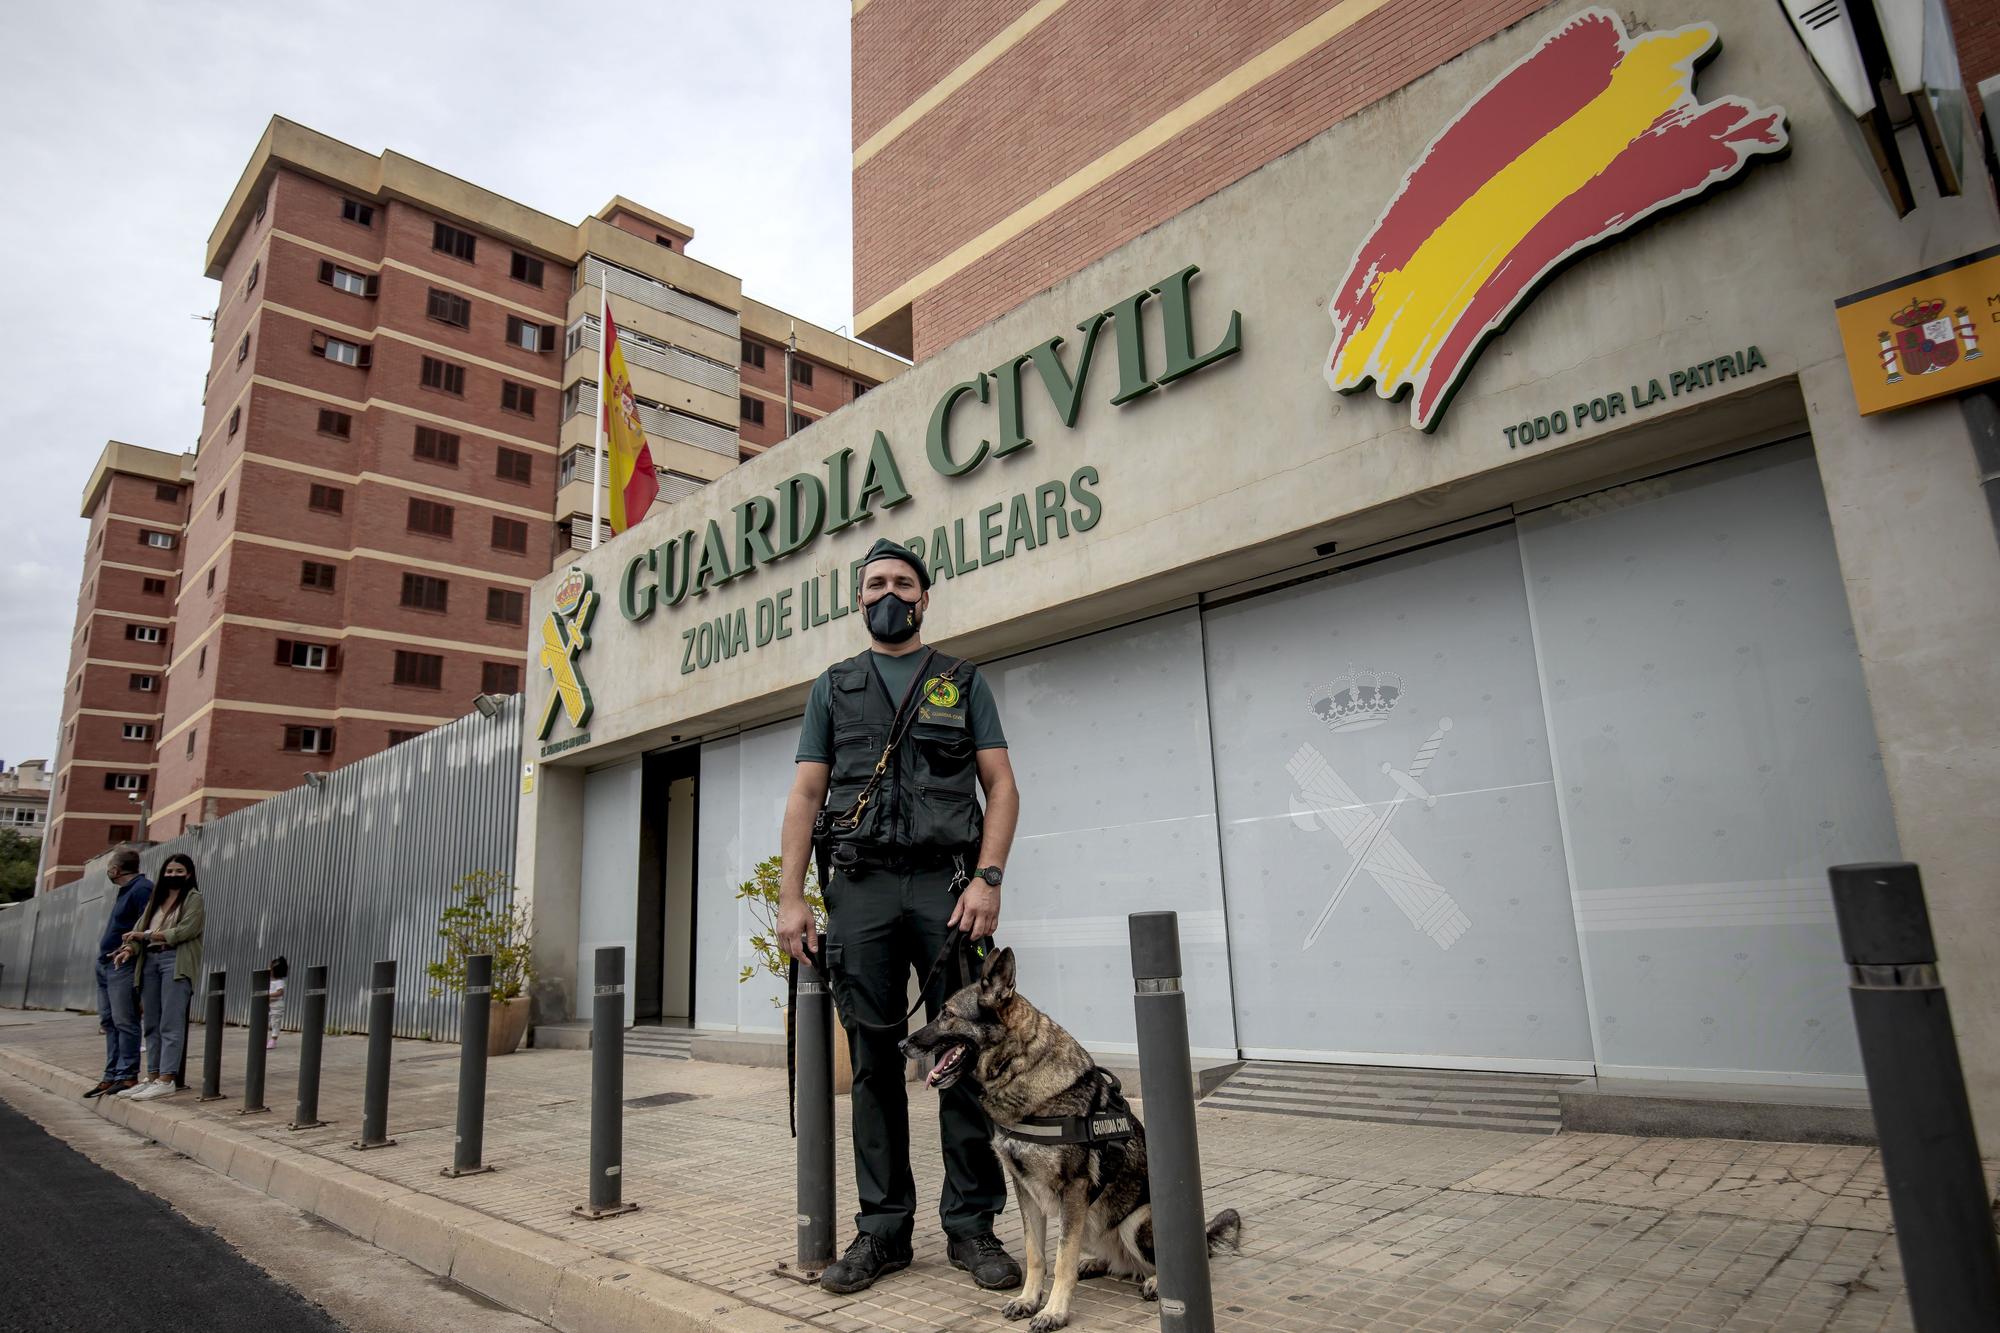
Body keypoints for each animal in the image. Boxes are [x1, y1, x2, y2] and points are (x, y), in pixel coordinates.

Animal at [904, 940, 1232, 1320]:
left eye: (946, 1013)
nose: (901, 1045)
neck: (1021, 1068)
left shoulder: (1073, 1190)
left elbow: (1061, 1258)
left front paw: (1053, 1312)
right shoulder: (1026, 1191)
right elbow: (1036, 1254)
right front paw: (1028, 1299)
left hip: (1134, 1221)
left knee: (1163, 1264)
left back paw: (1153, 1282)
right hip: (1091, 1221)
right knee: (1116, 1261)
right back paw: (1096, 1263)